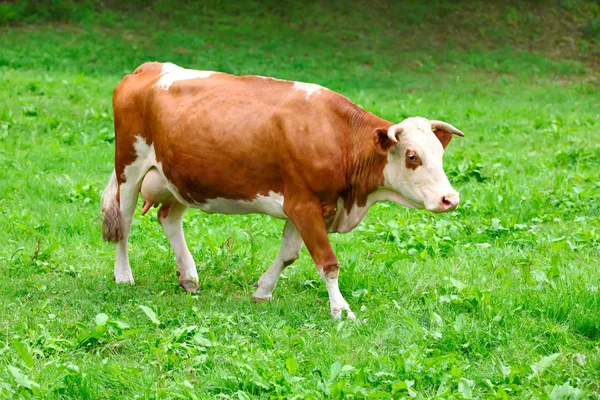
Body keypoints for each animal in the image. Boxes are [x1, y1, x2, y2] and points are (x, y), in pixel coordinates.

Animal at [101, 61, 464, 318]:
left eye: (440, 153)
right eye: (412, 156)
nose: (450, 198)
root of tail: (149, 68)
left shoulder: (302, 206)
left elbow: (289, 254)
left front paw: (263, 290)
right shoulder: (304, 204)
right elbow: (328, 262)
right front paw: (341, 310)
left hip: (180, 178)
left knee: (168, 218)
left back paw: (188, 276)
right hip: (129, 167)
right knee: (125, 221)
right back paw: (123, 275)